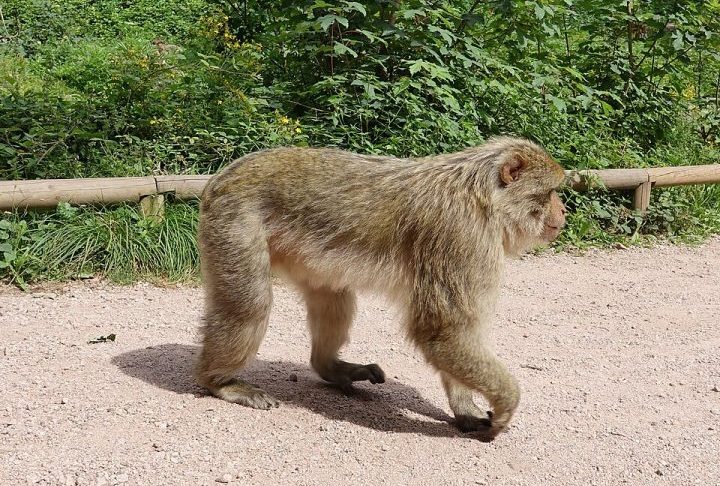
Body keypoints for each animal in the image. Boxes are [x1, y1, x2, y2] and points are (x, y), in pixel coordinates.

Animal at [194, 136, 567, 440]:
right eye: (549, 193)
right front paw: (506, 402)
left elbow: (454, 332)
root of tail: (221, 177)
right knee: (249, 306)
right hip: (234, 222)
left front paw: (465, 408)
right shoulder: (463, 239)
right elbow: (443, 332)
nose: (562, 211)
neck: (483, 201)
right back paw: (220, 382)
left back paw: (328, 366)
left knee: (334, 298)